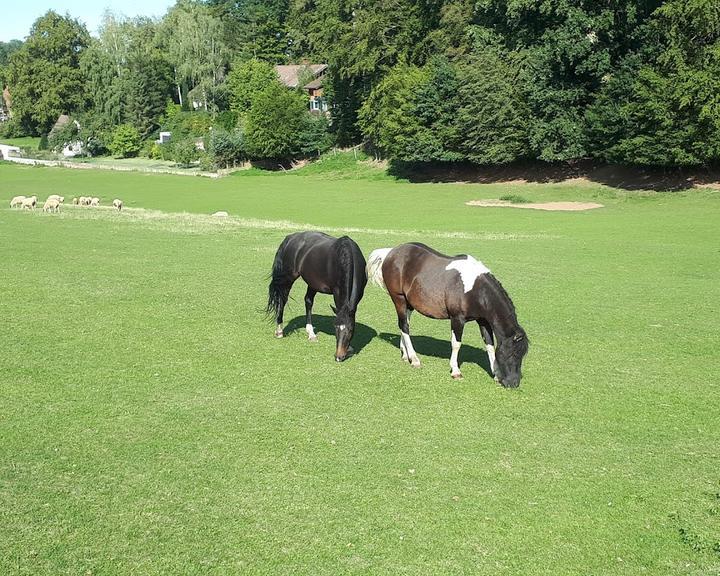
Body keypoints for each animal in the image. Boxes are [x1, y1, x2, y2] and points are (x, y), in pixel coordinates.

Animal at [266, 232, 368, 362]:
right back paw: (279, 330)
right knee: (283, 300)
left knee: (308, 301)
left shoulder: (359, 295)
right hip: (288, 278)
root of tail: (290, 238)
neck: (345, 257)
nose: (338, 357)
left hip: (312, 283)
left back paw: (311, 333)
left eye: (350, 330)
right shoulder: (337, 292)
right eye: (335, 328)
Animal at [366, 242, 528, 388]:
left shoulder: (483, 321)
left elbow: (489, 345)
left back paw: (405, 355)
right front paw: (455, 371)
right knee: (404, 326)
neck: (475, 290)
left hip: (408, 303)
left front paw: (496, 374)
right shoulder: (457, 319)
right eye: (513, 353)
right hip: (398, 299)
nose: (514, 383)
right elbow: (456, 344)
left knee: (404, 324)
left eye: (522, 355)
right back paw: (414, 359)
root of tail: (391, 252)